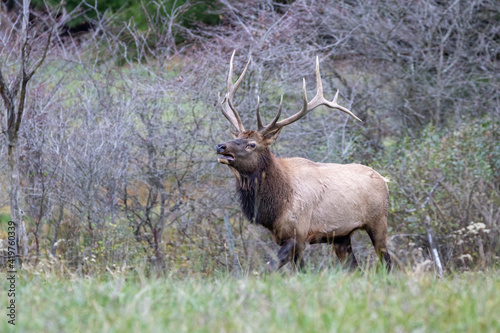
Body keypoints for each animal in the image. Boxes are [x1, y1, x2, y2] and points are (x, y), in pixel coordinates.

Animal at [215, 51, 390, 270]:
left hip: (378, 221)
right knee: (354, 267)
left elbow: (271, 266)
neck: (276, 205)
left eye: (251, 144)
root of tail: (385, 180)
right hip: (341, 236)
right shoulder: (283, 236)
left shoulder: (298, 233)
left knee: (388, 262)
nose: (221, 146)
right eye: (236, 136)